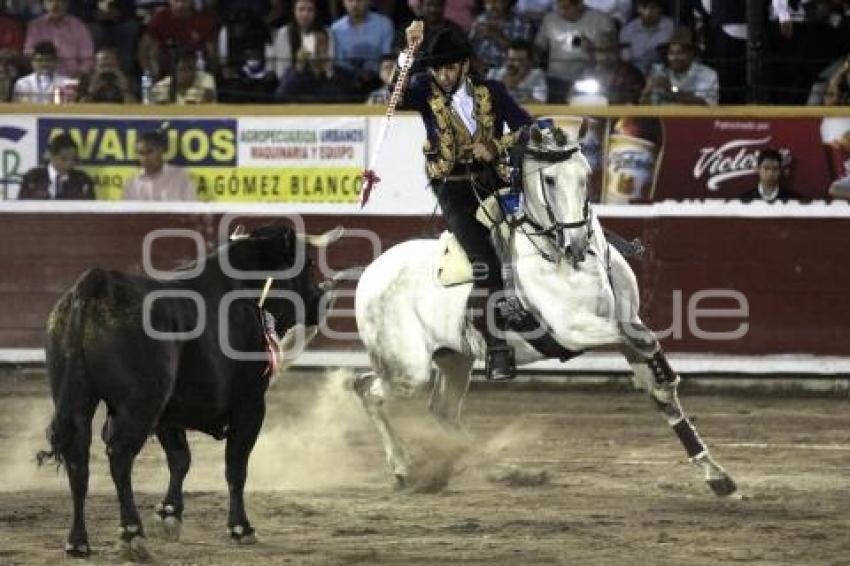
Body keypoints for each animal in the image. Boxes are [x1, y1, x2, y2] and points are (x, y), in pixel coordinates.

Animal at [36, 224, 334, 560]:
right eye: (308, 264)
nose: (323, 298)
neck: (246, 292)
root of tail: (97, 283)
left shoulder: (169, 412)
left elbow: (180, 459)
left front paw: (169, 514)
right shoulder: (250, 403)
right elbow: (236, 466)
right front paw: (241, 528)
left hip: (78, 400)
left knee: (77, 458)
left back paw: (78, 542)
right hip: (140, 405)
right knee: (120, 456)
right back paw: (132, 533)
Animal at [352, 124, 736, 496]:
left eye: (586, 175)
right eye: (548, 180)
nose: (575, 245)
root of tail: (370, 272)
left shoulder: (628, 320)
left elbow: (657, 383)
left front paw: (716, 475)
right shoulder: (575, 329)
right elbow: (646, 347)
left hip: (454, 358)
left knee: (440, 410)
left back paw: (484, 468)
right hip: (408, 369)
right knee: (368, 390)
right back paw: (405, 469)